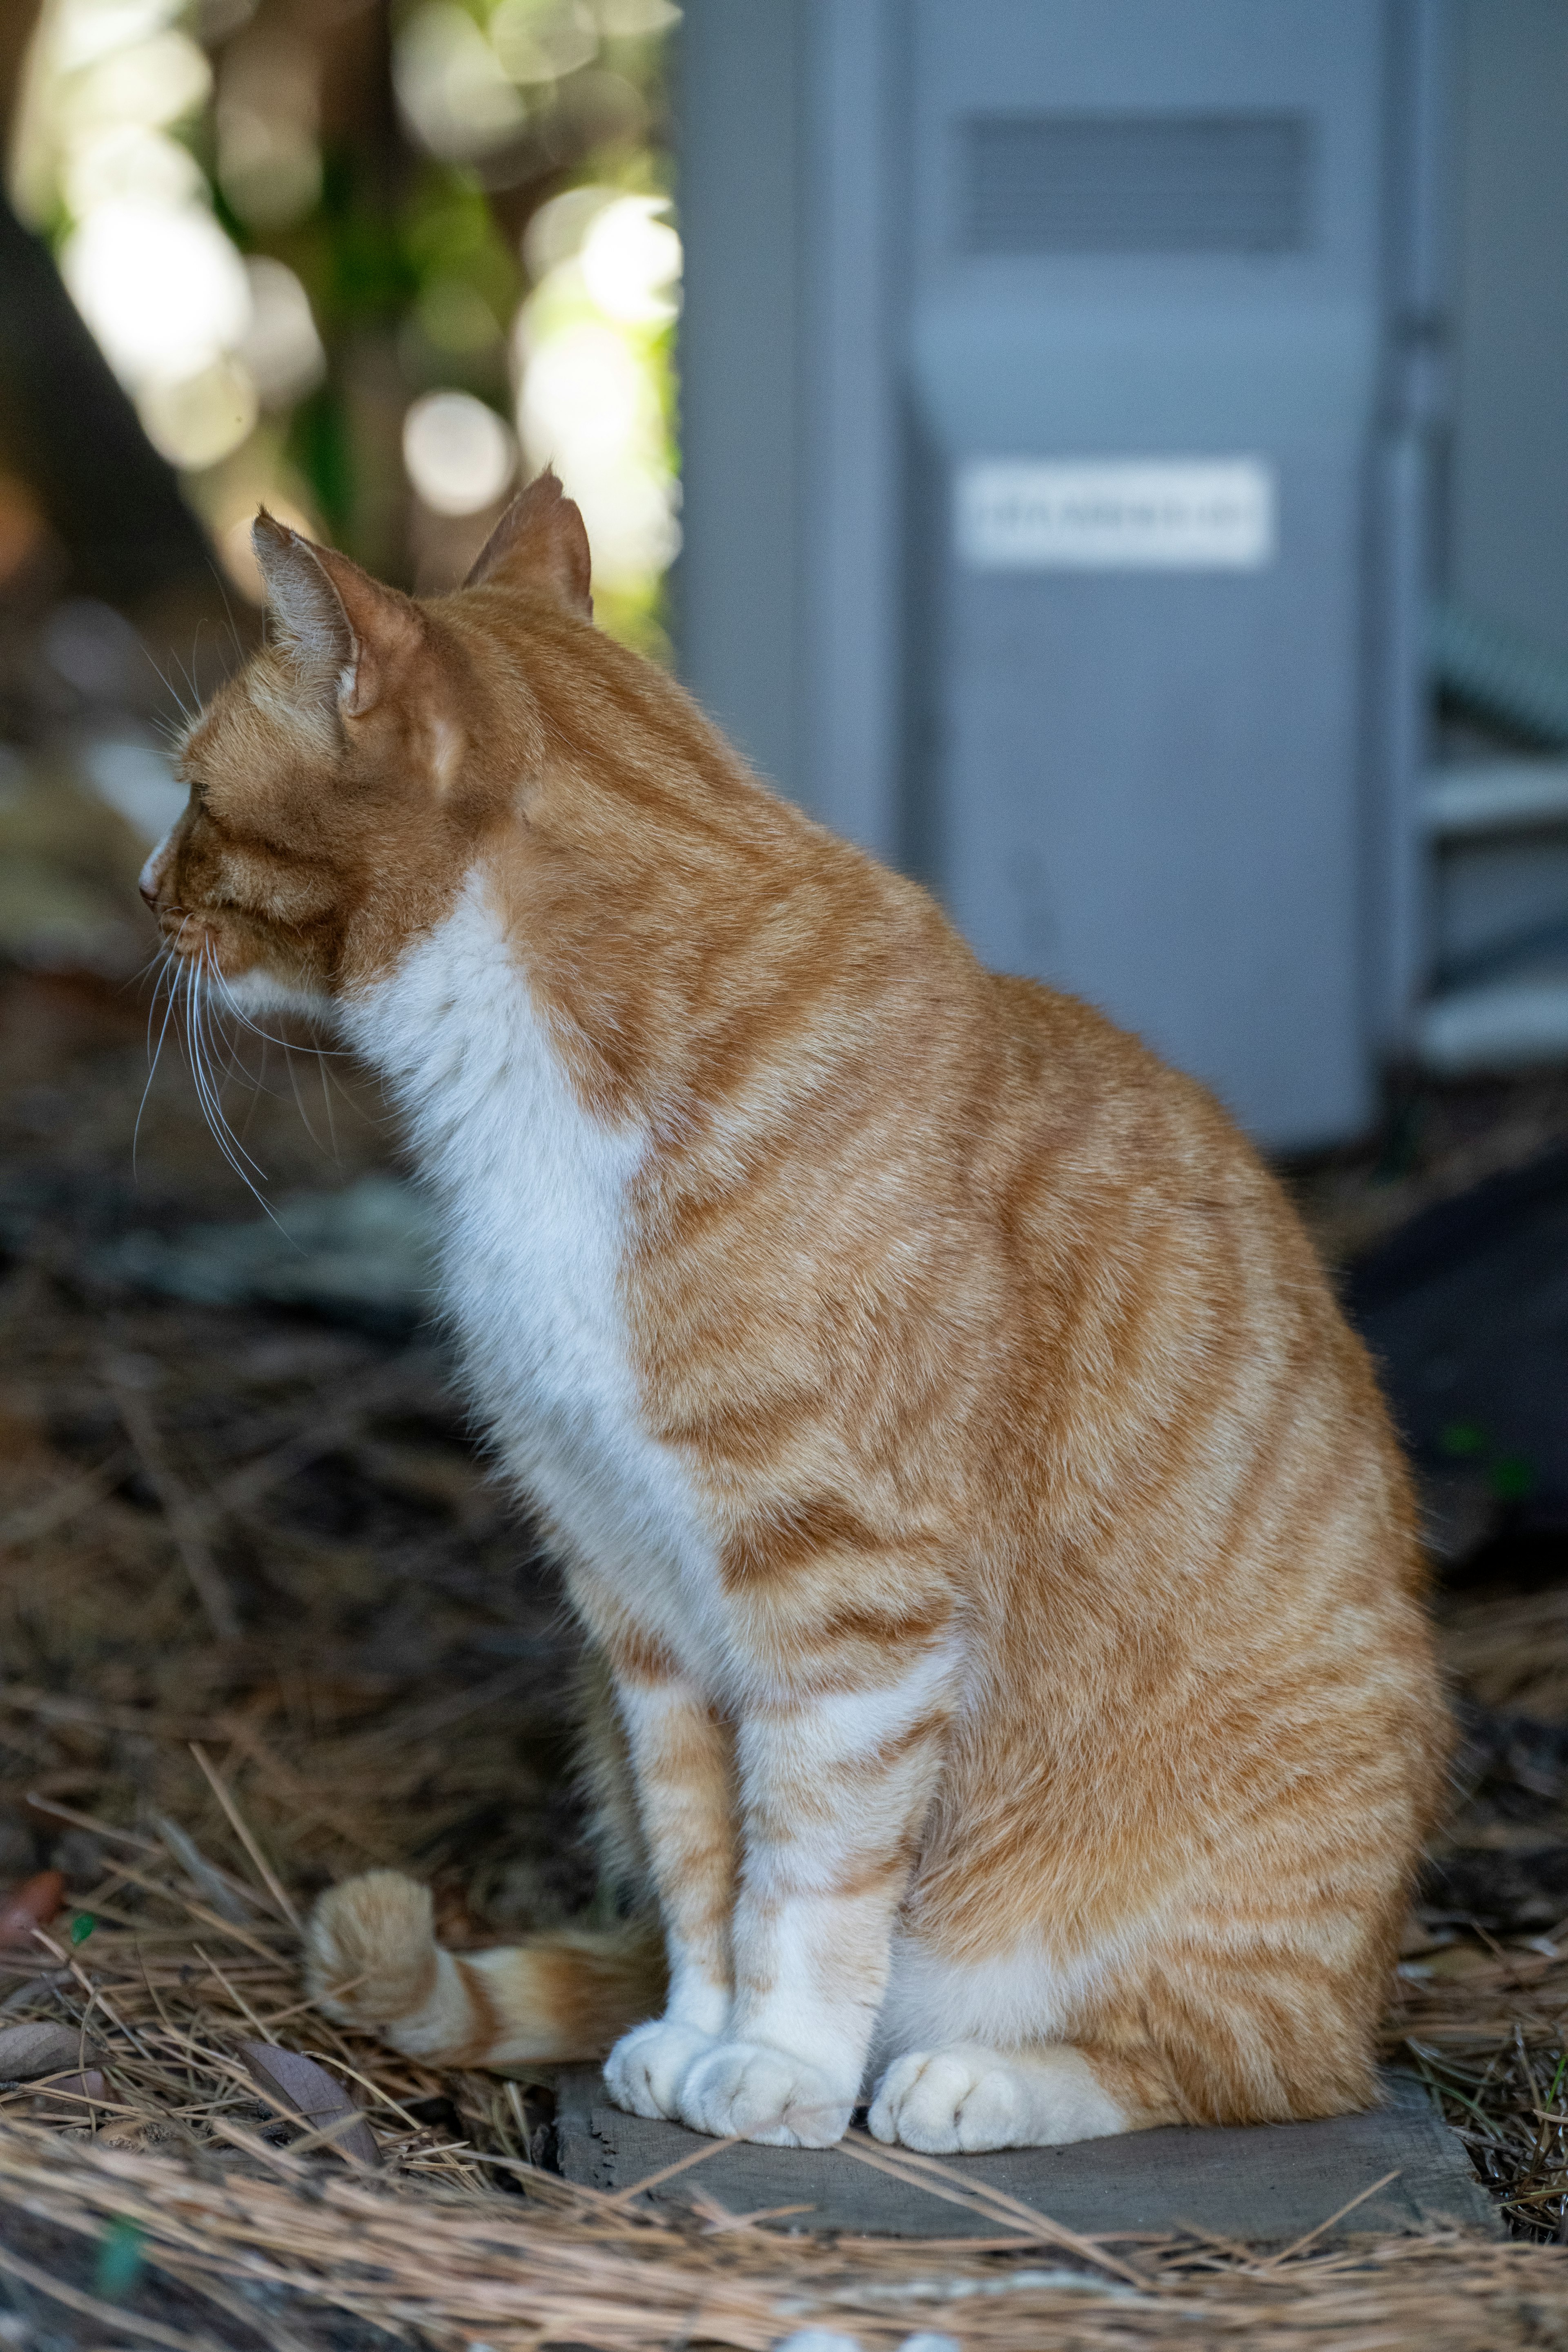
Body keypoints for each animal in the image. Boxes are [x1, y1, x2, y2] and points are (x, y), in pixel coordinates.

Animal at [144, 472, 1448, 2154]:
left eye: (190, 796)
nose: (145, 894)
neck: (527, 1107)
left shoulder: (846, 1602)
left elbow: (810, 1877)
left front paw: (783, 2066)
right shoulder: (632, 1605)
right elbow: (708, 1858)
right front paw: (697, 2034)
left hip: (1243, 1902)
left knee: (1253, 2061)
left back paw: (974, 2076)